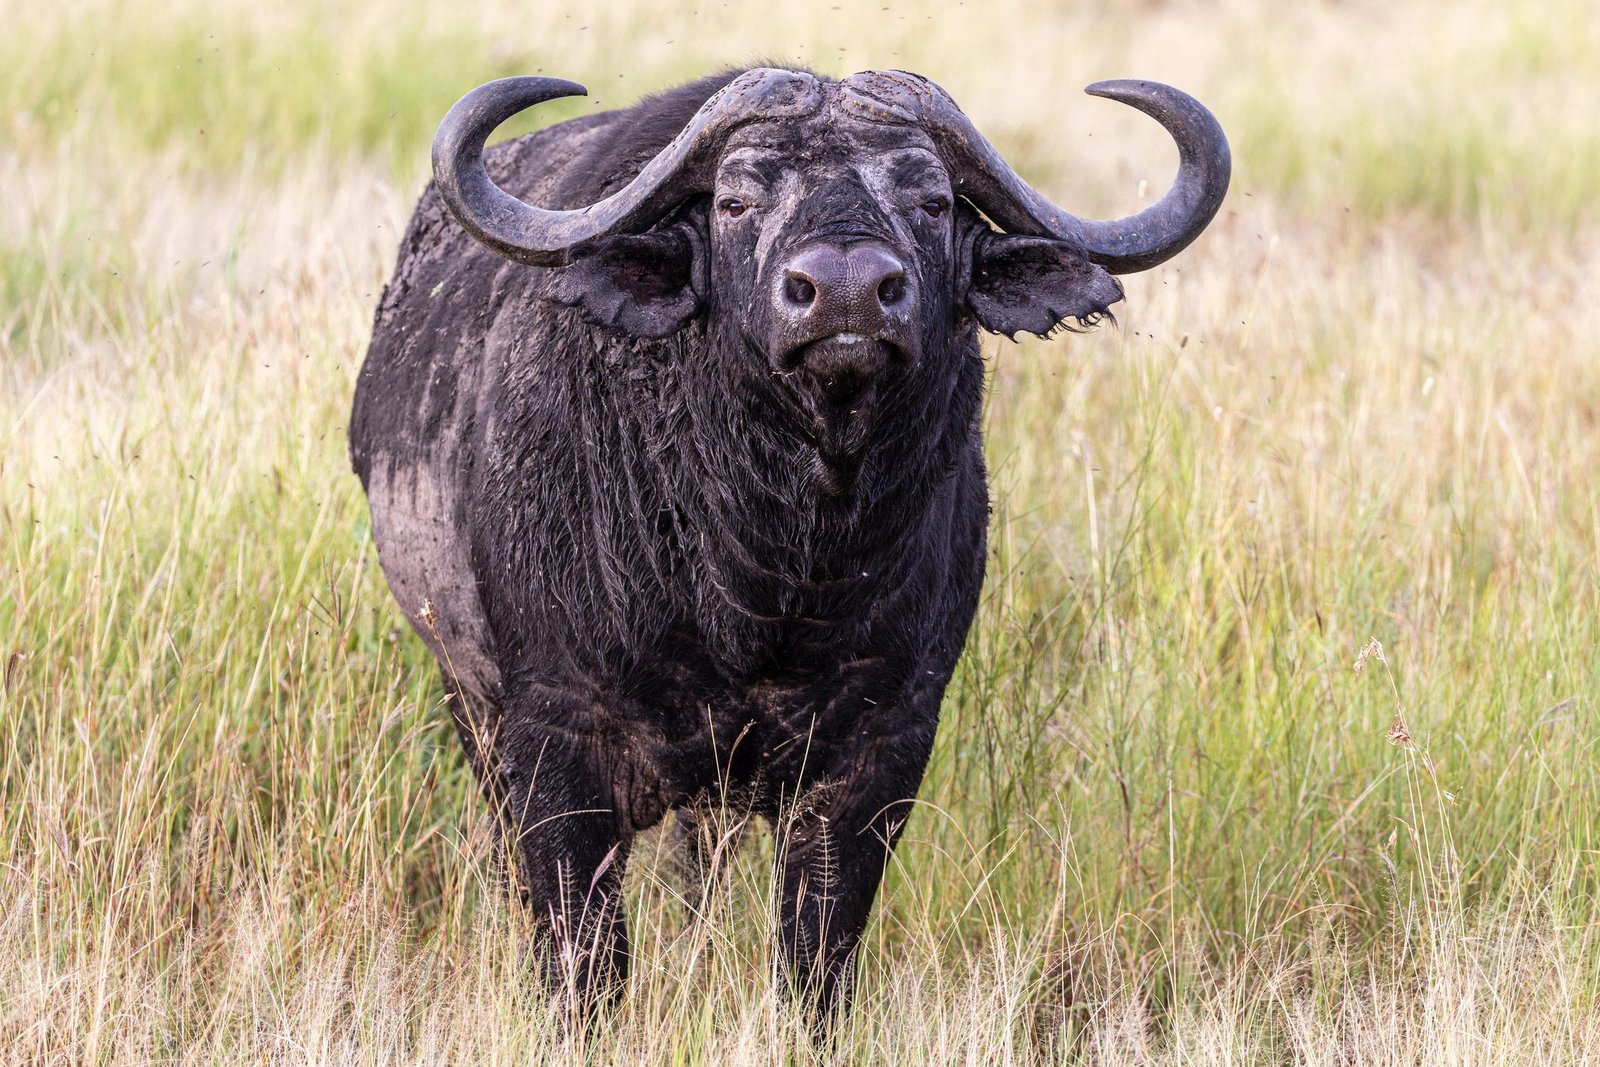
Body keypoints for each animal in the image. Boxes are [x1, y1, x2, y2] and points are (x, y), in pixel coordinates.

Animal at [349, 66, 1228, 1016]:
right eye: (736, 200)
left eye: (931, 200)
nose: (845, 290)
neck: (766, 577)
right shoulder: (554, 735)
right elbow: (585, 961)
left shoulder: (880, 752)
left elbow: (815, 961)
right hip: (468, 700)